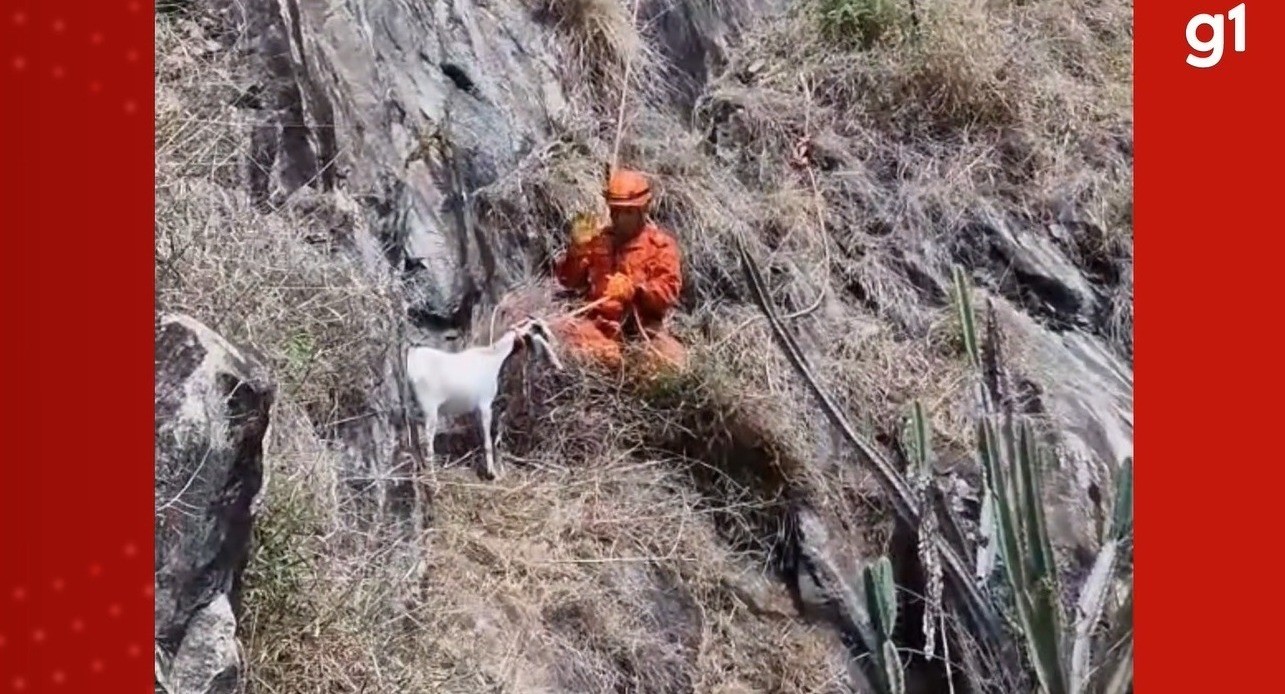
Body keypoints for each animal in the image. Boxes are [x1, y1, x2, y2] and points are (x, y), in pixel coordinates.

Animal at [400, 317, 562, 480]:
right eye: (542, 333)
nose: (557, 365)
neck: (493, 358)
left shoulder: (476, 410)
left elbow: (482, 438)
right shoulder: (485, 406)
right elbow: (488, 441)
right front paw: (492, 473)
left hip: (410, 407)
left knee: (413, 437)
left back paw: (418, 469)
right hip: (429, 409)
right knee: (428, 444)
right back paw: (433, 477)